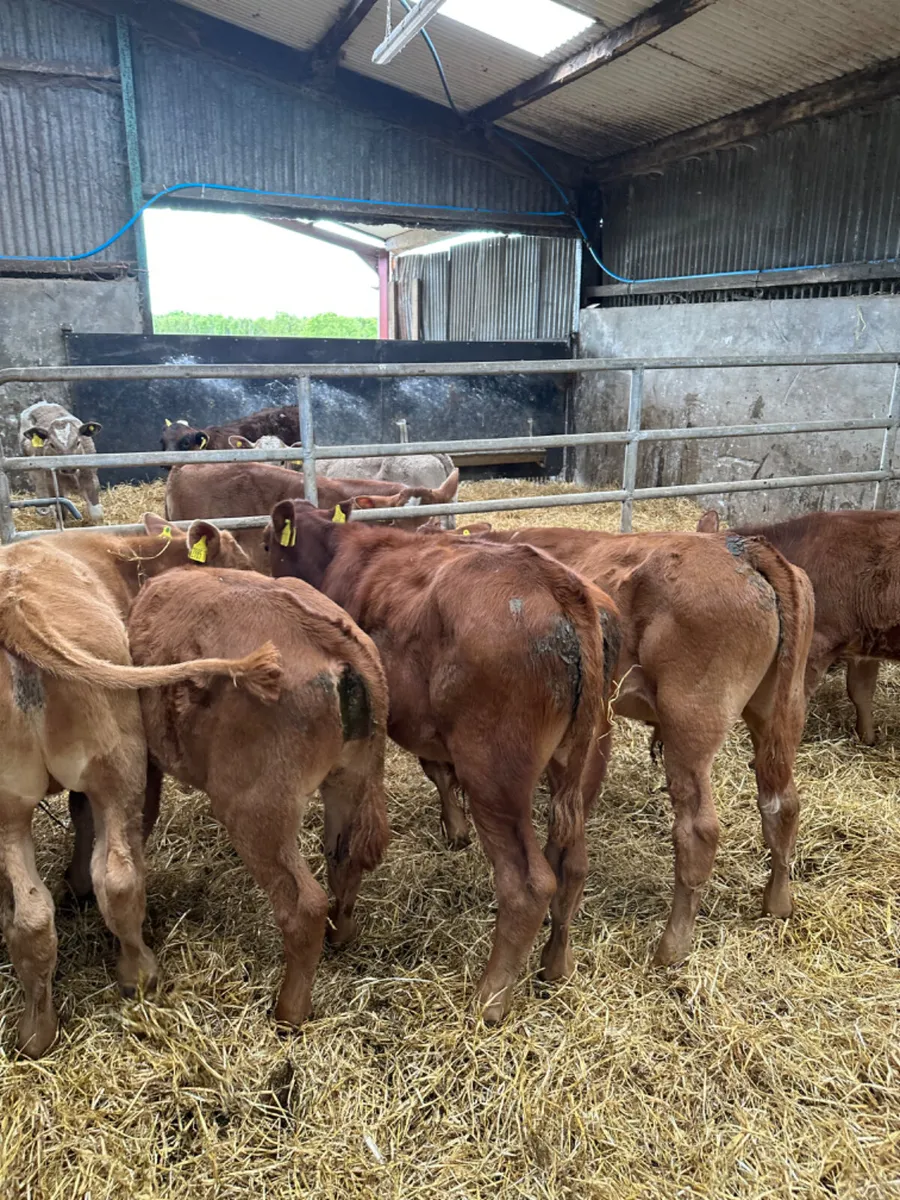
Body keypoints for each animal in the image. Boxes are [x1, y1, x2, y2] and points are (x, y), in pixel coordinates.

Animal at [0, 516, 279, 1056]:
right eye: (239, 561)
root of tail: (13, 609)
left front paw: (73, 886)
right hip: (121, 762)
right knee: (118, 880)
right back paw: (140, 974)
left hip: (8, 807)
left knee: (31, 918)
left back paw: (35, 1031)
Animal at [127, 567, 390, 1026]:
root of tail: (334, 643)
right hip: (349, 782)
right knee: (345, 861)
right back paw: (340, 936)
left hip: (257, 808)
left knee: (304, 906)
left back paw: (288, 1013)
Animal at [264, 497, 620, 1022]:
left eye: (268, 543)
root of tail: (561, 585)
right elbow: (436, 772)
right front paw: (455, 829)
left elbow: (353, 836)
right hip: (585, 757)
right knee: (572, 864)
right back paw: (555, 964)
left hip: (494, 771)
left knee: (529, 884)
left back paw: (489, 998)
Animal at [433, 524, 814, 967]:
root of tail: (741, 546)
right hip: (778, 712)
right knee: (782, 803)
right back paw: (778, 903)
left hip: (691, 725)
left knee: (698, 831)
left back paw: (671, 947)